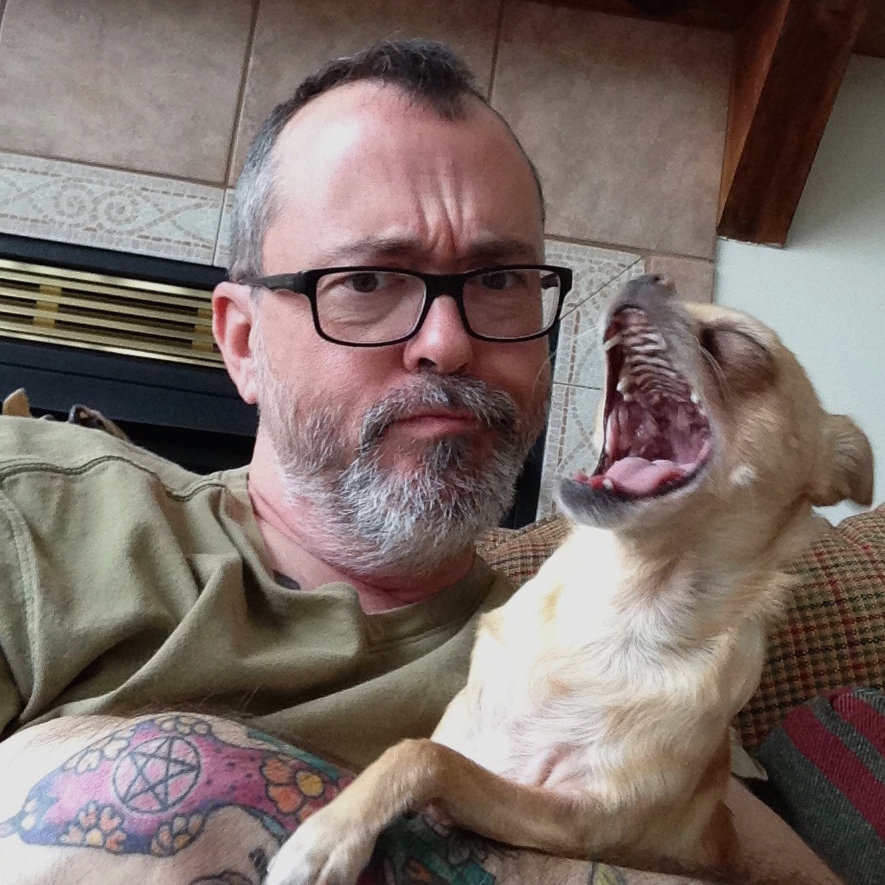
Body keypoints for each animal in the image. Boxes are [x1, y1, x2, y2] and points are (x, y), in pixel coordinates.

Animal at [266, 275, 873, 885]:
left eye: (742, 345)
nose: (649, 279)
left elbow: (425, 756)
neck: (620, 599)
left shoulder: (584, 823)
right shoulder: (478, 744)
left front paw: (325, 838)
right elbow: (426, 750)